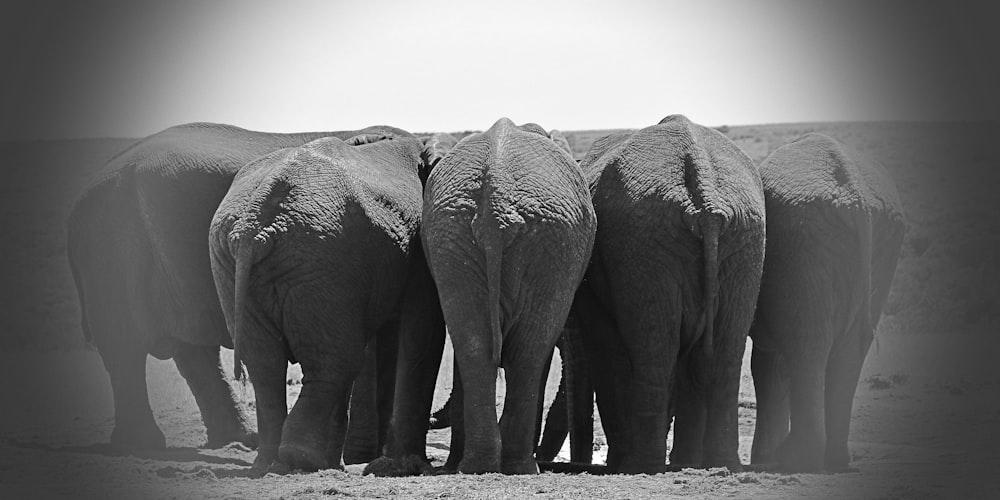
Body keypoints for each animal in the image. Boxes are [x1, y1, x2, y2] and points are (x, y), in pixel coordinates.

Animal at [207, 131, 442, 474]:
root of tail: (254, 222)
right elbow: (422, 325)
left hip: (238, 259)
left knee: (265, 363)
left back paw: (272, 462)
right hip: (321, 256)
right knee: (336, 362)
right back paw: (304, 461)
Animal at [372, 118, 596, 476]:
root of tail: (497, 198)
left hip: (458, 234)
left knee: (477, 343)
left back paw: (481, 466)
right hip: (544, 238)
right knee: (526, 350)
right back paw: (513, 466)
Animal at [572, 114, 764, 472]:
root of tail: (706, 193)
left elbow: (606, 345)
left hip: (656, 240)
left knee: (660, 349)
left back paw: (644, 465)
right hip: (731, 239)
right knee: (720, 351)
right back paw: (712, 463)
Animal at [752, 133, 908, 472]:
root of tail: (857, 196)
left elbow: (767, 366)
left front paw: (764, 459)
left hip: (806, 242)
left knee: (809, 345)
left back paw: (796, 460)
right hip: (872, 241)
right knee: (846, 351)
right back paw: (831, 461)